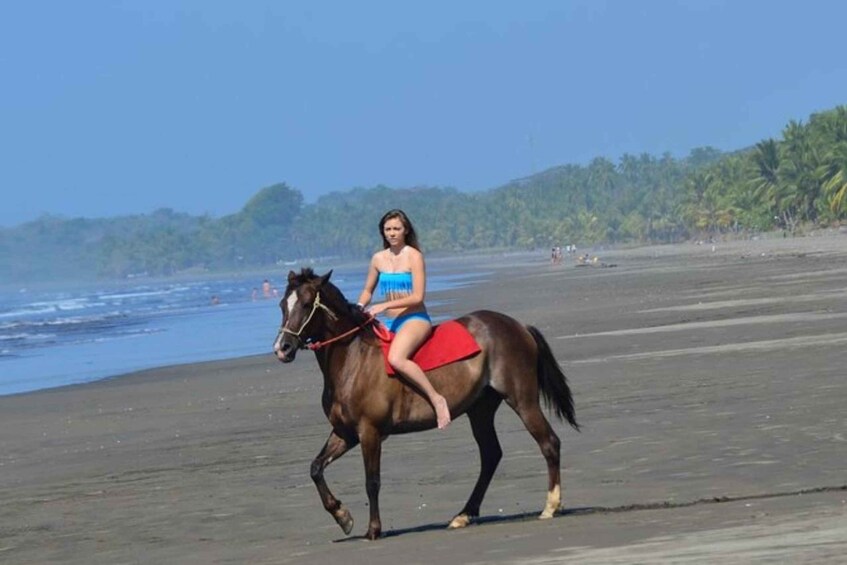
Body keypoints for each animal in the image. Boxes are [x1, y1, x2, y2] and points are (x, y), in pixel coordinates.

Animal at [274, 266, 580, 540]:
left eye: (305, 304)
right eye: (281, 305)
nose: (282, 348)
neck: (354, 359)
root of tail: (518, 326)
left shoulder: (369, 432)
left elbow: (372, 482)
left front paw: (373, 529)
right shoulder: (345, 433)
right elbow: (315, 468)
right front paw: (342, 516)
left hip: (522, 400)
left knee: (549, 443)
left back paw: (550, 506)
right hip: (480, 410)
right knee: (491, 455)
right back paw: (463, 515)